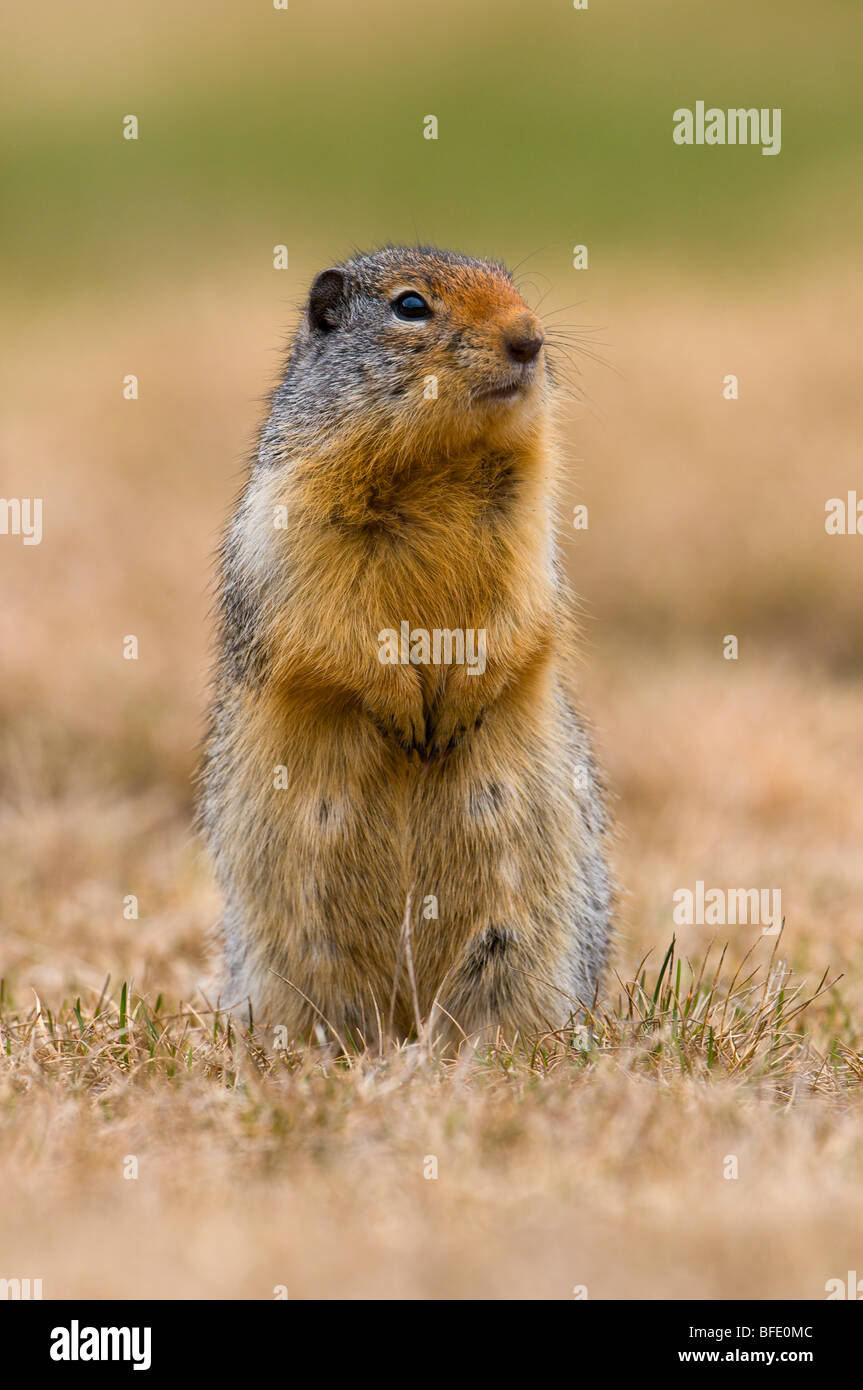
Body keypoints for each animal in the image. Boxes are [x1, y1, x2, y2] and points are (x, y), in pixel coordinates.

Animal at [198, 244, 608, 1045]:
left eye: (513, 286)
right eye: (410, 306)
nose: (530, 339)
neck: (437, 466)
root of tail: (406, 1017)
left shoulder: (526, 530)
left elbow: (520, 616)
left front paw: (456, 707)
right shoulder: (296, 527)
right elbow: (333, 629)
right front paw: (402, 710)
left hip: (521, 945)